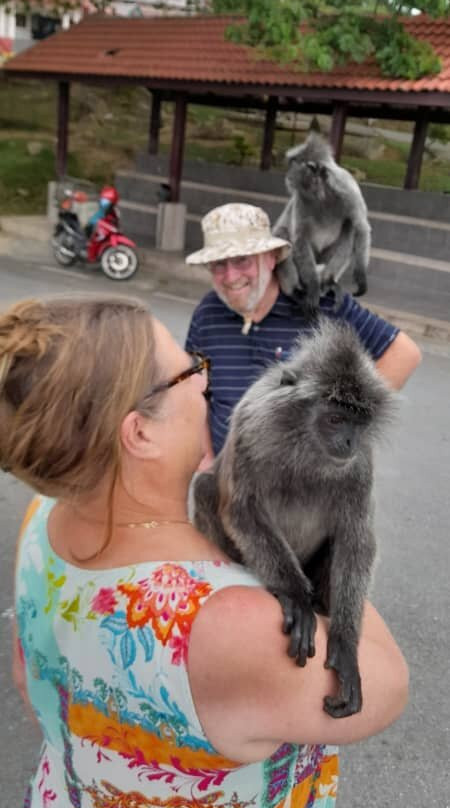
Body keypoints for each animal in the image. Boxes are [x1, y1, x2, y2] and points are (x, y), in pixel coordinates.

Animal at [193, 320, 394, 720]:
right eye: (335, 418)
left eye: (358, 423)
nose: (348, 441)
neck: (308, 446)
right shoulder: (252, 425)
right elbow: (242, 510)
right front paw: (296, 597)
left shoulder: (360, 466)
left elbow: (357, 540)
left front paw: (345, 644)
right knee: (206, 488)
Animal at [272, 133, 370, 312]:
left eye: (292, 164)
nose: (287, 175)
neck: (322, 192)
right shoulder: (302, 198)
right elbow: (300, 238)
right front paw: (313, 286)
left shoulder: (347, 189)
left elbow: (361, 227)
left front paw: (361, 276)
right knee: (283, 236)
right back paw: (296, 290)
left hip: (323, 261)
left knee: (350, 227)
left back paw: (328, 281)